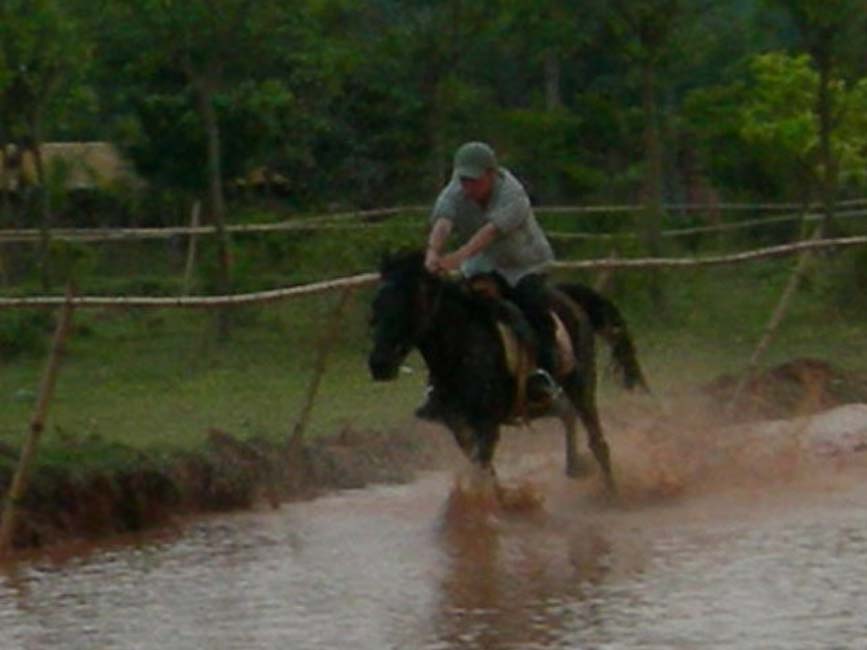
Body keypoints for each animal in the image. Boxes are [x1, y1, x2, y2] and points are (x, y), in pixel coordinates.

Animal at [364, 249, 644, 492]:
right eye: (376, 305)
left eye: (409, 304)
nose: (379, 364)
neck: (462, 351)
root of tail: (567, 295)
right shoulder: (459, 427)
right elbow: (485, 475)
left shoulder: (488, 425)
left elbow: (481, 473)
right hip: (537, 402)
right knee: (566, 411)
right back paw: (575, 466)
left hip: (581, 382)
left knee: (597, 440)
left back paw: (610, 493)